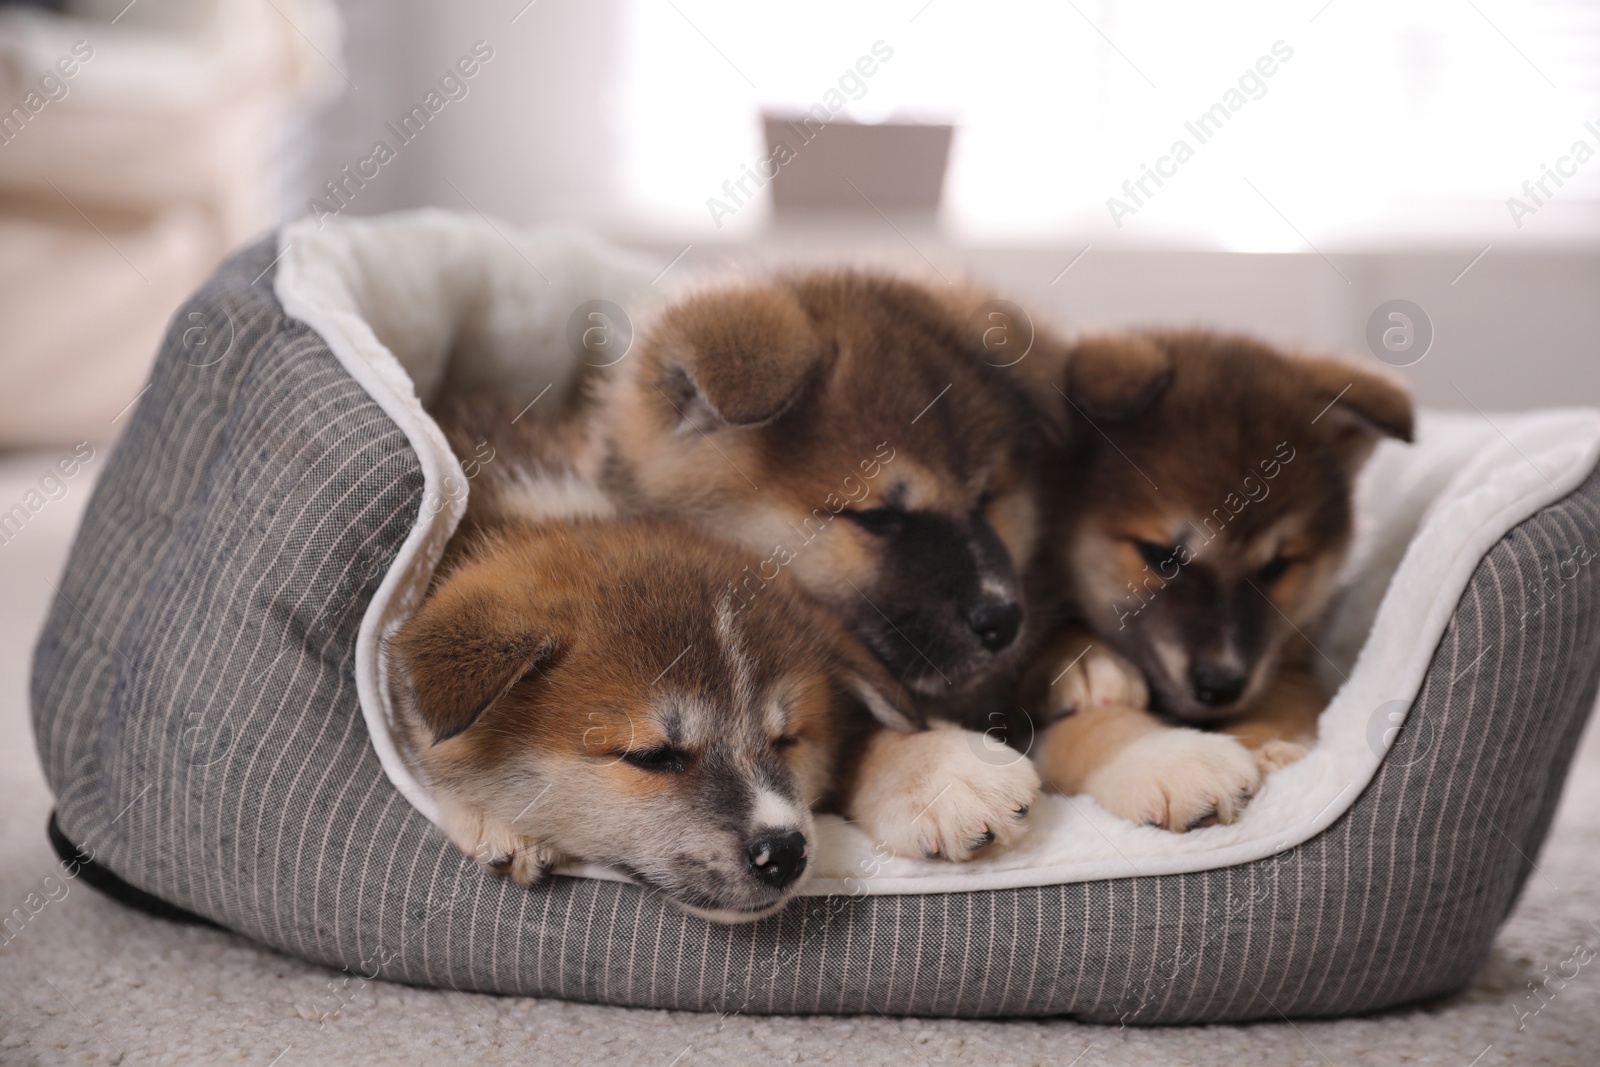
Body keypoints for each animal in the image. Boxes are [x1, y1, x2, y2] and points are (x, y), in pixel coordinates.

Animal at [1024, 329, 1414, 831]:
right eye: (1162, 557)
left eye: (1277, 567)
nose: (1221, 686)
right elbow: (1090, 729)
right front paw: (1169, 761)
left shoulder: (1288, 664)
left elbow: (1288, 702)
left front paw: (1271, 745)